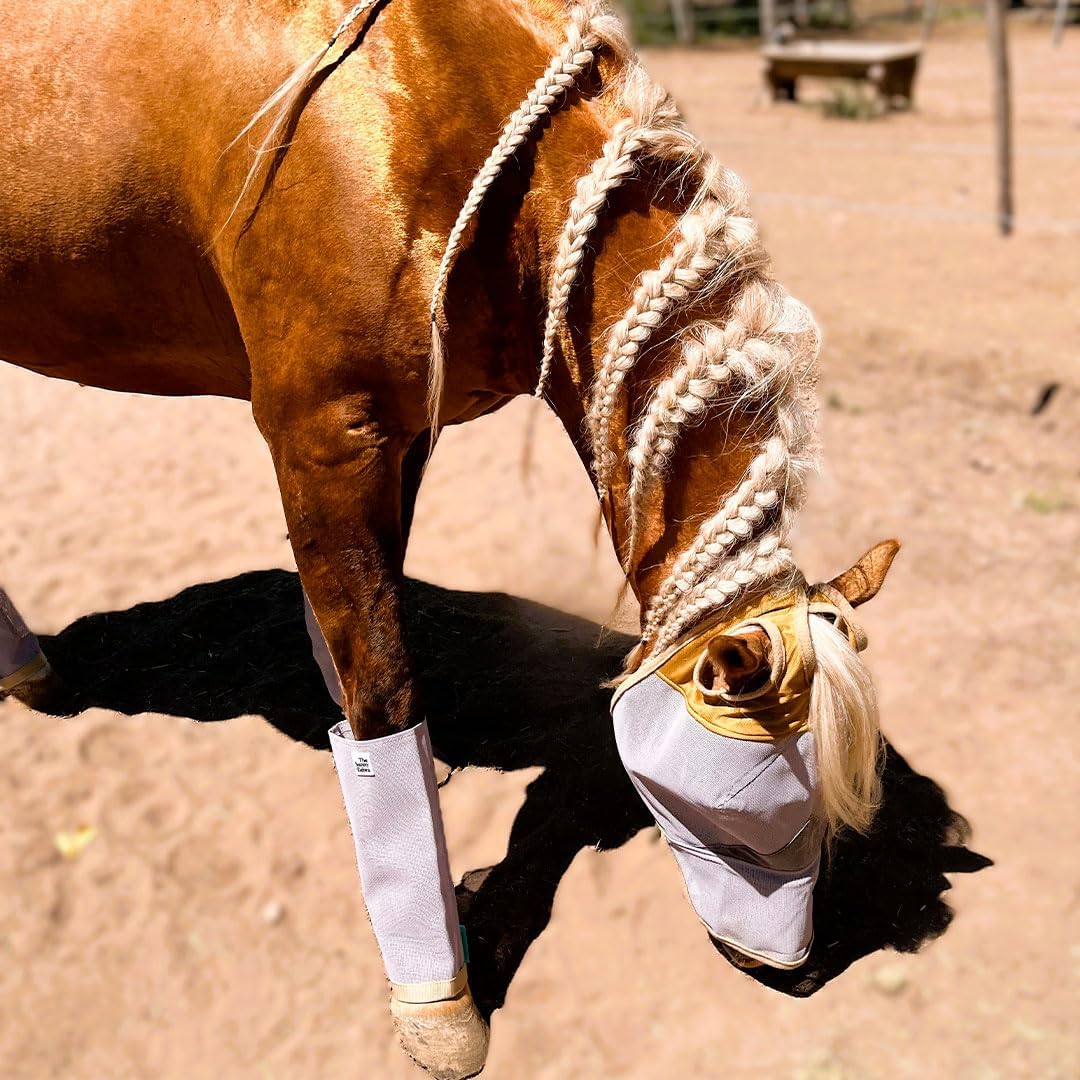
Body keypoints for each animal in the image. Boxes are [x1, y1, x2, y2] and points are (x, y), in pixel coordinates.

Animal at [1, 1, 898, 1076]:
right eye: (755, 810)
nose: (798, 975)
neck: (431, 102)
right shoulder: (323, 434)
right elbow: (386, 691)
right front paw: (440, 998)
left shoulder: (406, 433)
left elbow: (364, 621)